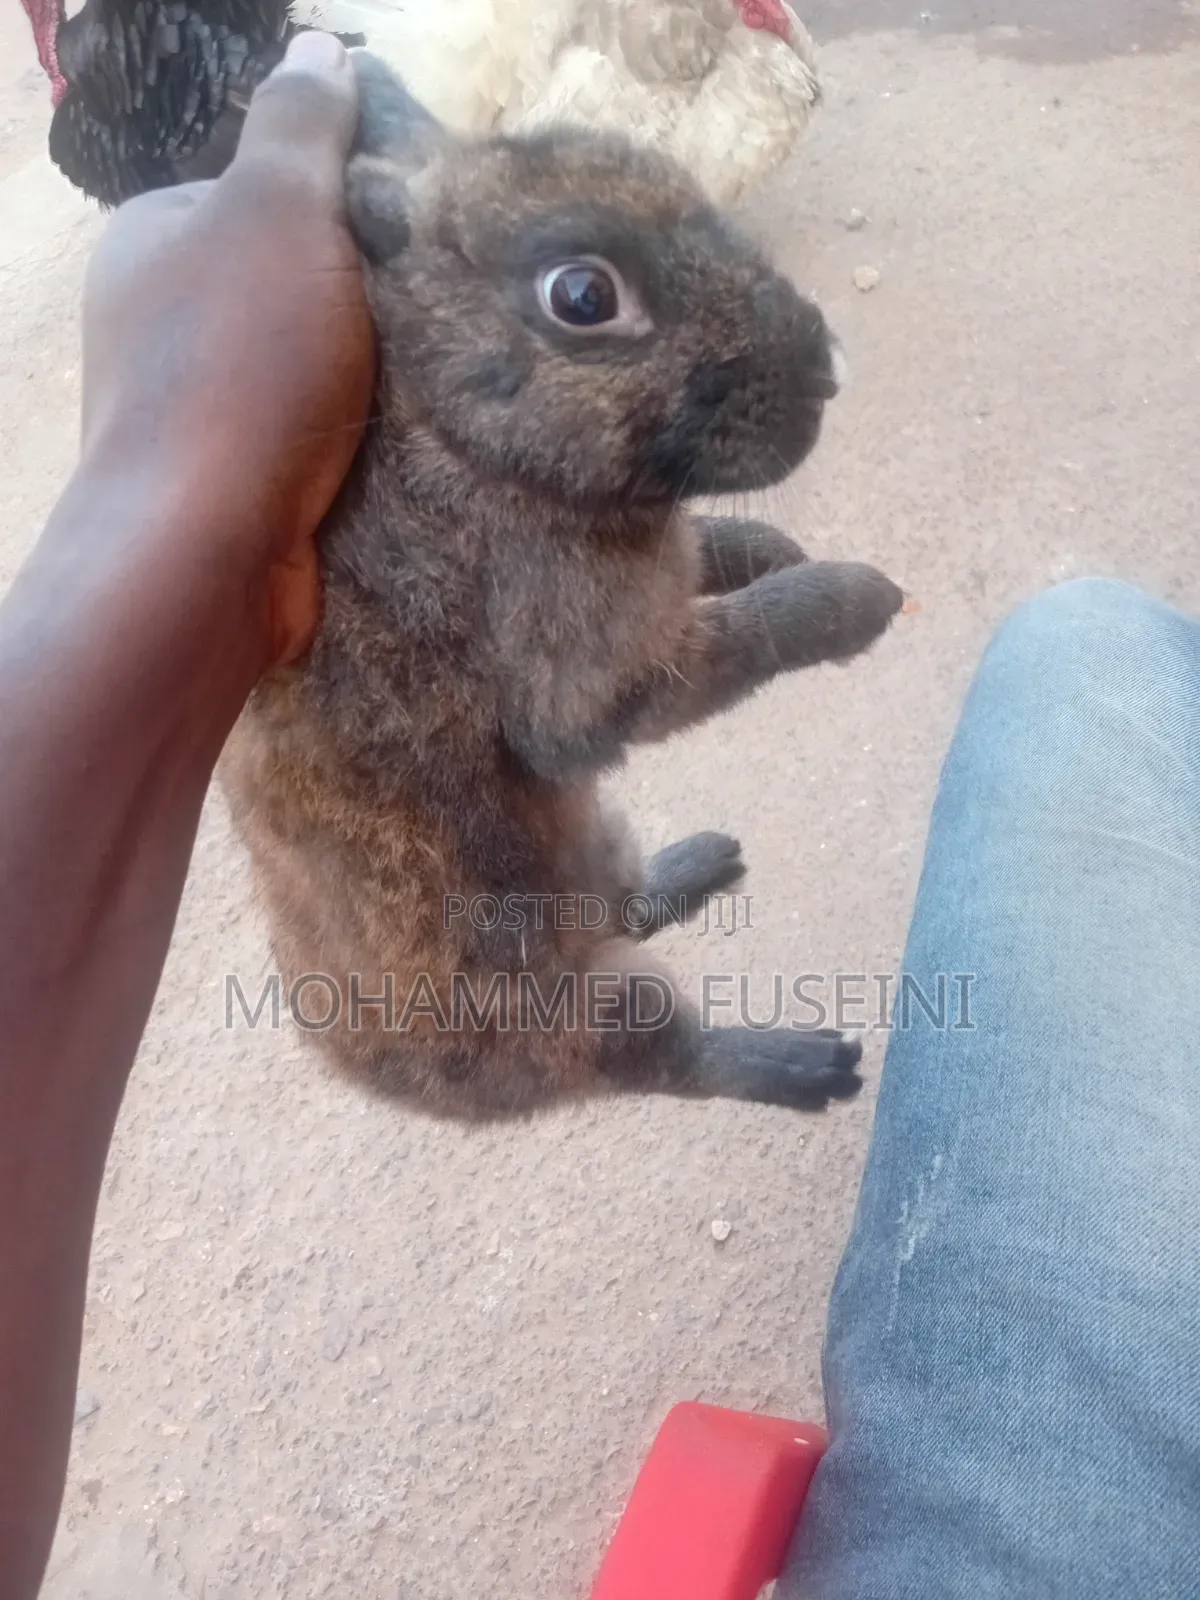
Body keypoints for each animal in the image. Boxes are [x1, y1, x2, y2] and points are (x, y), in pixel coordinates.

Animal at [218, 53, 905, 1121]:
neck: (464, 442)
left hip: (602, 833)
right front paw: (854, 600)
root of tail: (363, 1068)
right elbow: (737, 637)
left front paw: (776, 544)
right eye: (583, 295)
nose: (829, 369)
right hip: (600, 1004)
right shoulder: (594, 682)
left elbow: (711, 550)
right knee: (676, 1060)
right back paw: (803, 1067)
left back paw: (697, 865)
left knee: (626, 903)